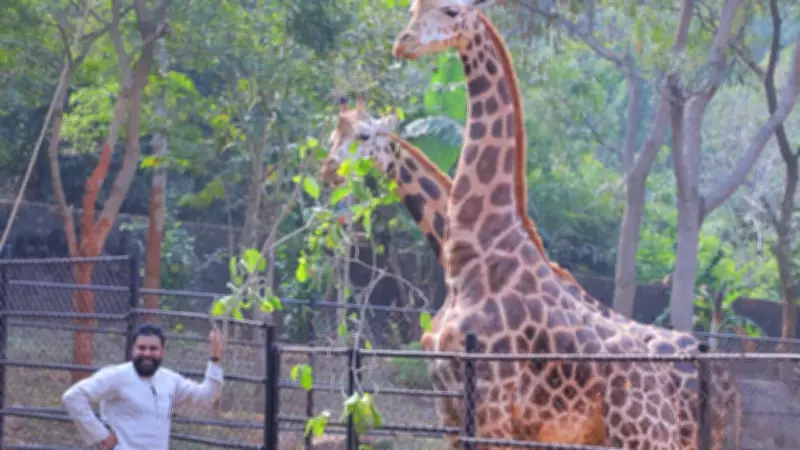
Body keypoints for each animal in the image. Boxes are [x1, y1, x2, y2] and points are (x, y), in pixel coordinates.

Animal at [392, 1, 691, 448]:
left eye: (451, 11)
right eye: (412, 8)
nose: (403, 43)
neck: (469, 257)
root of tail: (664, 393)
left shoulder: (492, 400)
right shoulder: (447, 401)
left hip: (641, 434)